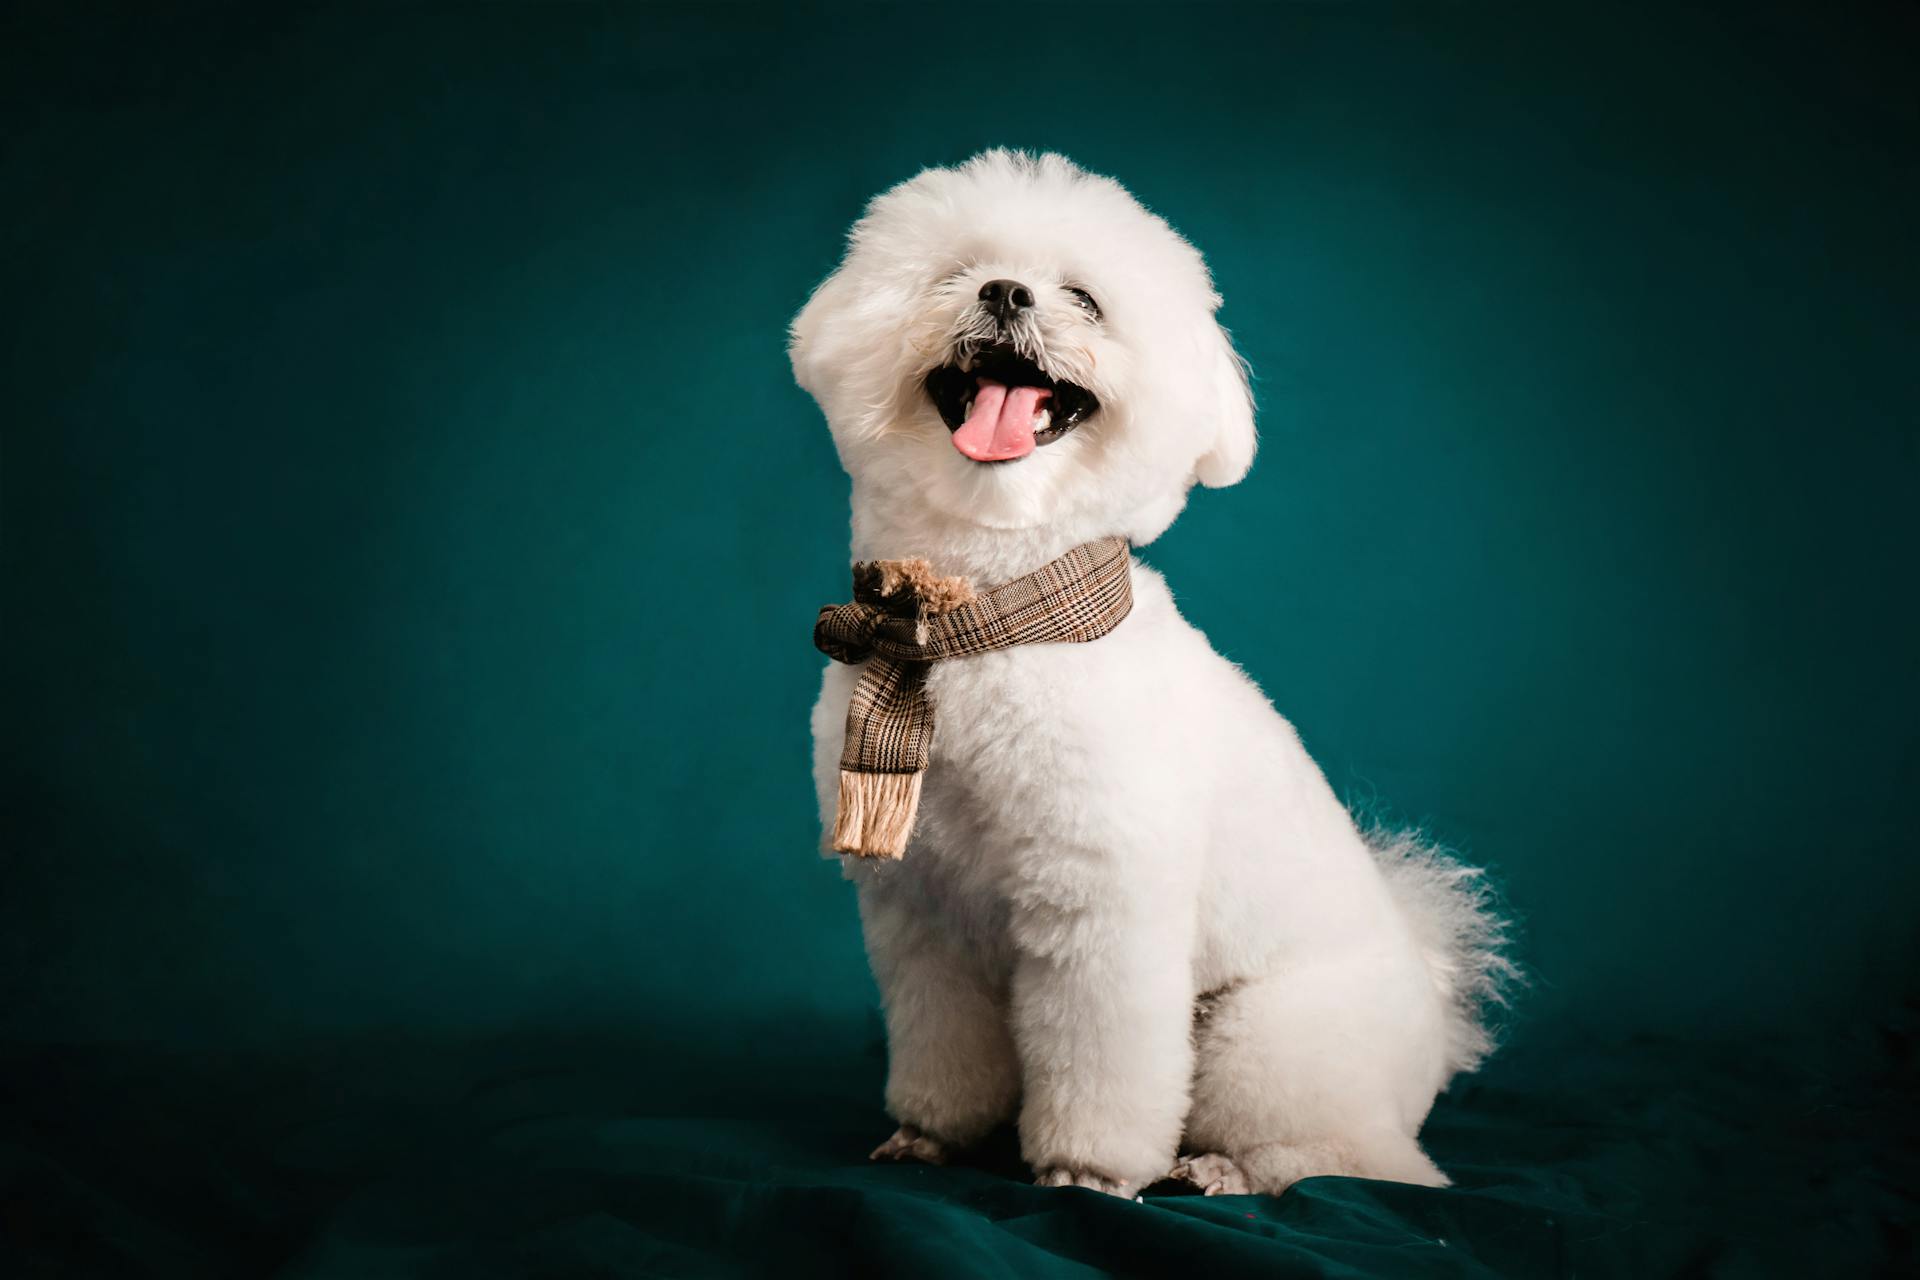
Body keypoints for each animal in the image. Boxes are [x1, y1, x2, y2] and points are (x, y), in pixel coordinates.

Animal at [787, 150, 1505, 1205]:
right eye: (955, 275)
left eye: (1085, 300)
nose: (1006, 293)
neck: (978, 621)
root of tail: (1433, 1013)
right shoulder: (924, 913)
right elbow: (941, 1040)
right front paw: (932, 1134)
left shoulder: (1102, 909)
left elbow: (1103, 1062)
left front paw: (1084, 1170)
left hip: (1266, 1042)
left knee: (1359, 1162)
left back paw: (1222, 1169)